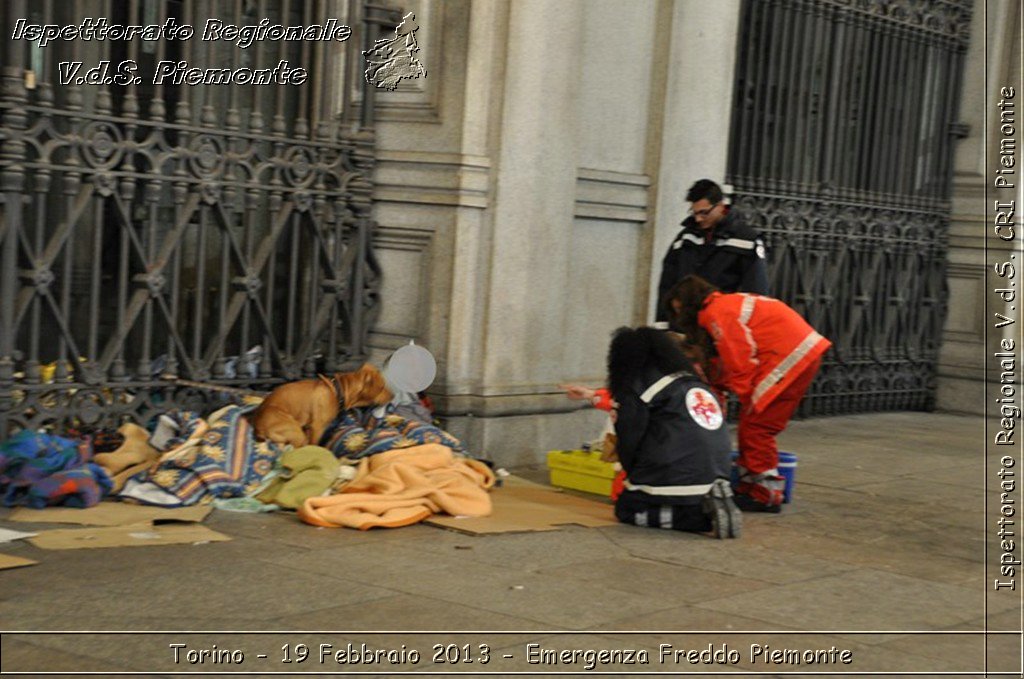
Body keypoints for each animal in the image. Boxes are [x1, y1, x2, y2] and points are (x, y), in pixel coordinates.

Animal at [250, 364, 391, 448]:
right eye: (382, 387)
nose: (393, 395)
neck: (337, 392)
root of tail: (258, 428)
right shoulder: (317, 427)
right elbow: (314, 445)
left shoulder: (309, 428)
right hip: (296, 432)